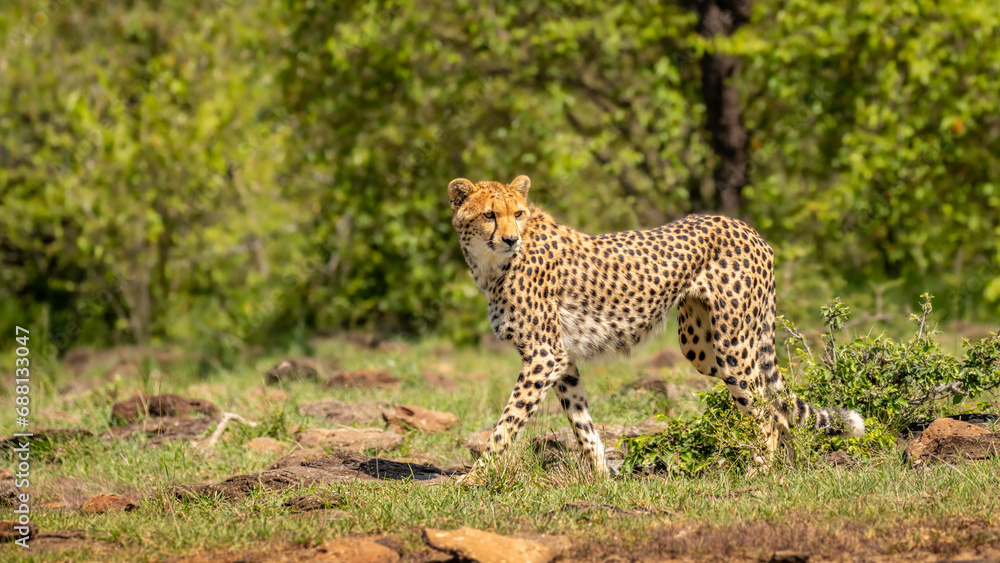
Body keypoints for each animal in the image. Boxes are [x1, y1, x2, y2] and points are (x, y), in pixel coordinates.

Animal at [447, 174, 865, 480]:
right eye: (489, 215)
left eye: (518, 213)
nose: (510, 238)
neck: (490, 266)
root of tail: (746, 228)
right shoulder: (561, 358)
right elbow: (582, 422)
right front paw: (601, 478)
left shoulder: (544, 355)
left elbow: (508, 421)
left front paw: (475, 478)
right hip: (701, 346)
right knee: (774, 404)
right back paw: (790, 467)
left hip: (733, 343)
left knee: (763, 407)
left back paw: (762, 472)